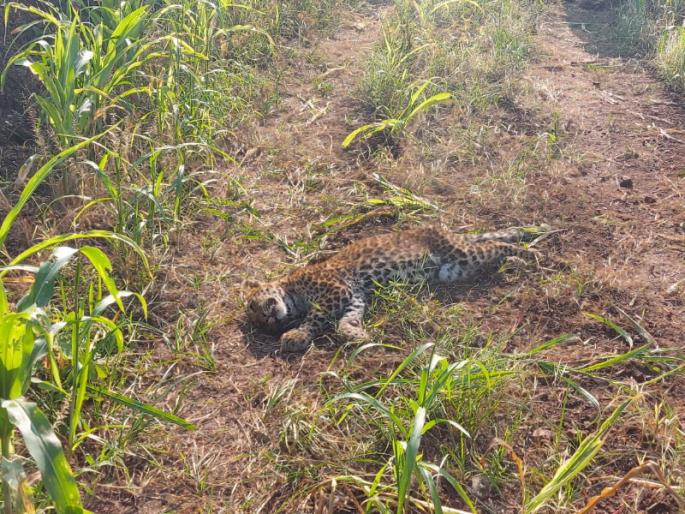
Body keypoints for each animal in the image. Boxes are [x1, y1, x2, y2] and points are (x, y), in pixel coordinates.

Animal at [243, 224, 549, 353]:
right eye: (261, 324)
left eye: (255, 306)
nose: (270, 319)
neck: (293, 293)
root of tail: (448, 231)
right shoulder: (354, 296)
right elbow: (346, 321)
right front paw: (357, 334)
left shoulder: (335, 291)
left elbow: (316, 318)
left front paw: (297, 336)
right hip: (454, 269)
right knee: (492, 253)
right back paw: (515, 263)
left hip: (462, 254)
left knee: (497, 243)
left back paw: (531, 255)